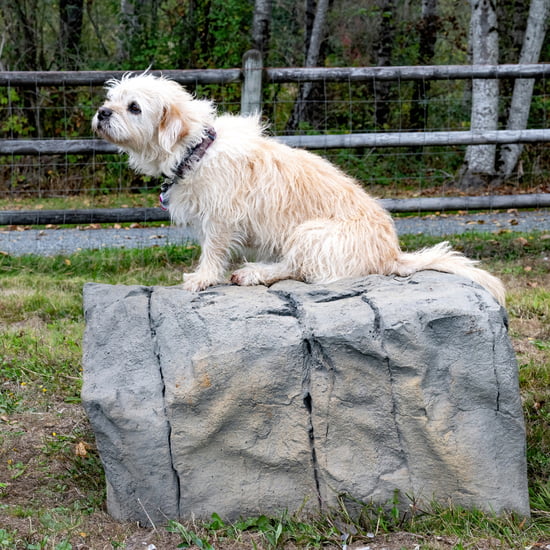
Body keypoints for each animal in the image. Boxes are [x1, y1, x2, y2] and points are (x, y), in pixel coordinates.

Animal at [92, 72, 506, 306]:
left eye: (134, 107)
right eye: (111, 100)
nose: (102, 113)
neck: (195, 148)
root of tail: (392, 255)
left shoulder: (221, 220)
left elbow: (213, 252)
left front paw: (202, 278)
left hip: (310, 232)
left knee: (297, 269)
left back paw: (255, 273)